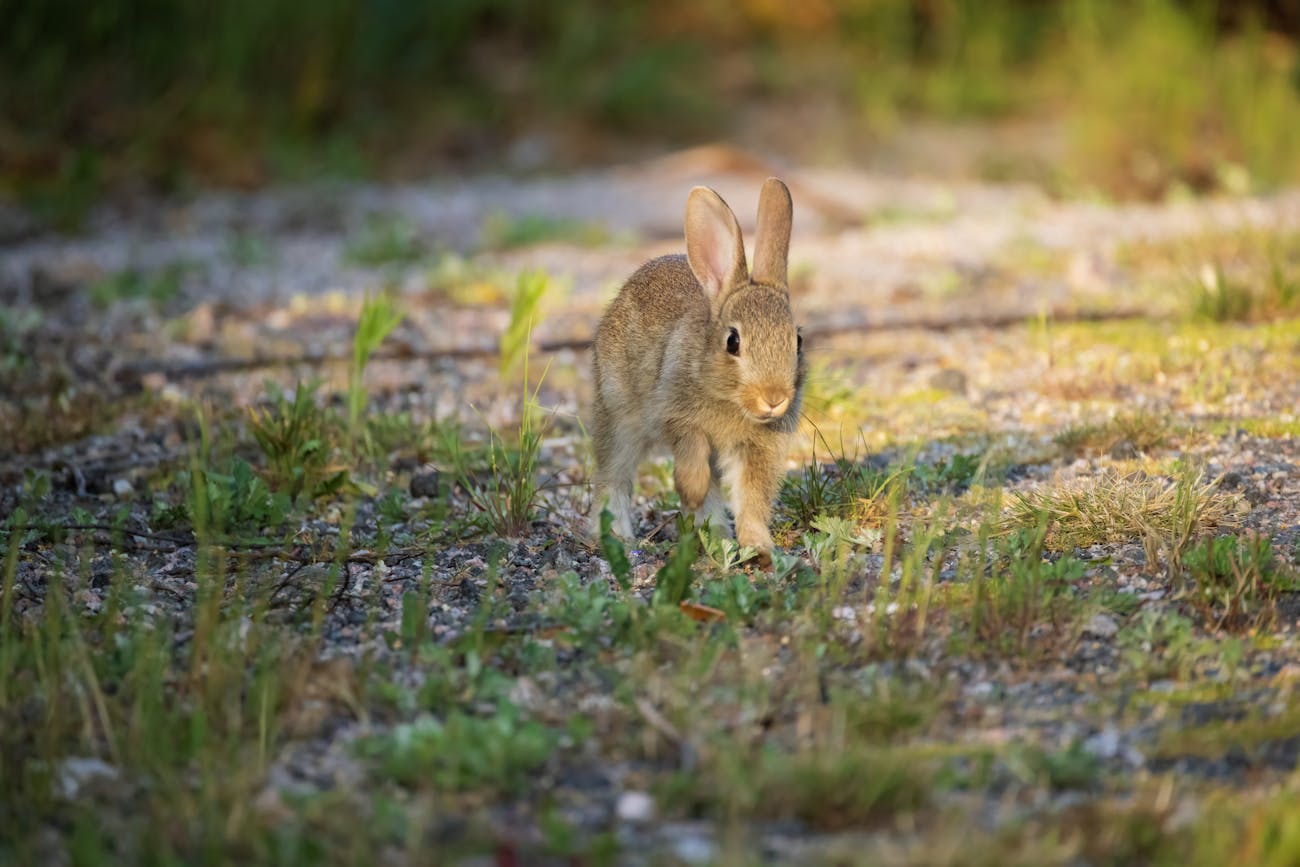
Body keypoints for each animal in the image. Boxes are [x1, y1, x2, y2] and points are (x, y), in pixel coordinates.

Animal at [592, 179, 800, 566]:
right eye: (733, 342)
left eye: (798, 340)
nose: (774, 399)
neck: (732, 401)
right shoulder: (676, 415)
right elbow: (692, 453)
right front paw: (690, 491)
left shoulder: (757, 449)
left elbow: (752, 498)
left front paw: (759, 548)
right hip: (617, 413)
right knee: (614, 475)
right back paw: (620, 537)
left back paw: (718, 538)